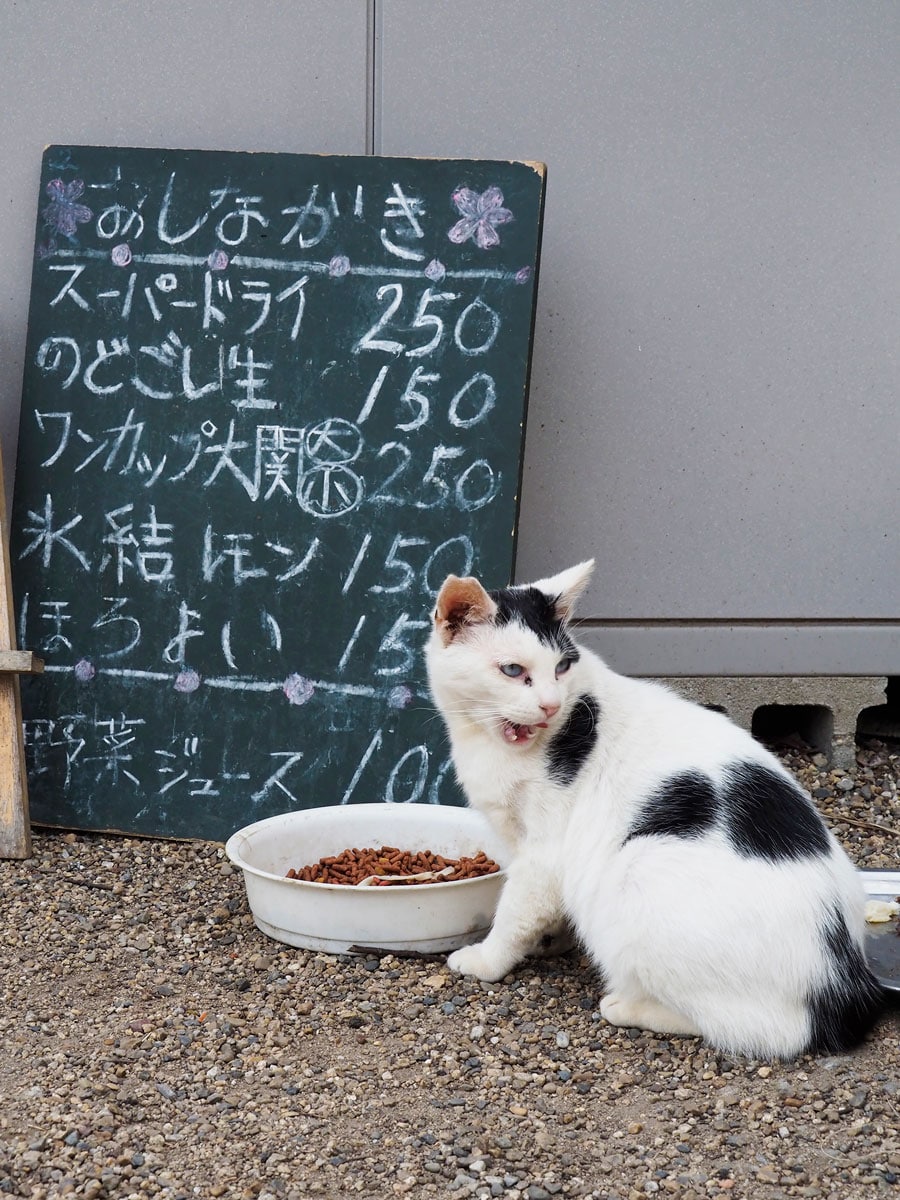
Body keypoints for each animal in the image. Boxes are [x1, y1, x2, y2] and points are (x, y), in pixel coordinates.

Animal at [427, 559, 883, 1060]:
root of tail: (846, 984)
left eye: (562, 666)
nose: (550, 704)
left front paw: (487, 959)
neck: (491, 739)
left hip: (639, 871)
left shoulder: (544, 852)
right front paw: (553, 939)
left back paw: (627, 1005)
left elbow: (515, 911)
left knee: (760, 1028)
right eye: (513, 670)